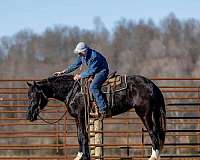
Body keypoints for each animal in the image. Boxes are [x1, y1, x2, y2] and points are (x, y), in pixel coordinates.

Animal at [26, 74, 166, 159]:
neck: (72, 90)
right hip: (152, 113)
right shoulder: (78, 118)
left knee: (153, 133)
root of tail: (151, 85)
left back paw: (153, 156)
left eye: (35, 95)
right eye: (28, 95)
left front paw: (83, 157)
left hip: (144, 113)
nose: (29, 115)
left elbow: (83, 137)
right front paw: (81, 156)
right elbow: (81, 136)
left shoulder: (81, 116)